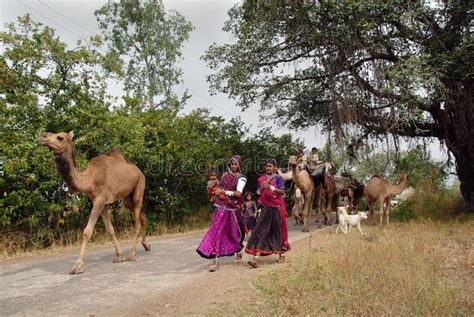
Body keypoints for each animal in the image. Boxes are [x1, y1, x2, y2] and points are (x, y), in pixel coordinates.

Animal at [38, 130, 150, 272]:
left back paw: (133, 254)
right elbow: (110, 229)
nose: (42, 137)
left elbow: (87, 231)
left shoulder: (100, 200)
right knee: (143, 216)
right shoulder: (100, 203)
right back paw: (146, 245)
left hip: (139, 186)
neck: (89, 180)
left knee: (137, 222)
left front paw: (78, 266)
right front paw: (119, 256)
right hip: (127, 198)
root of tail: (138, 170)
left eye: (60, 137)